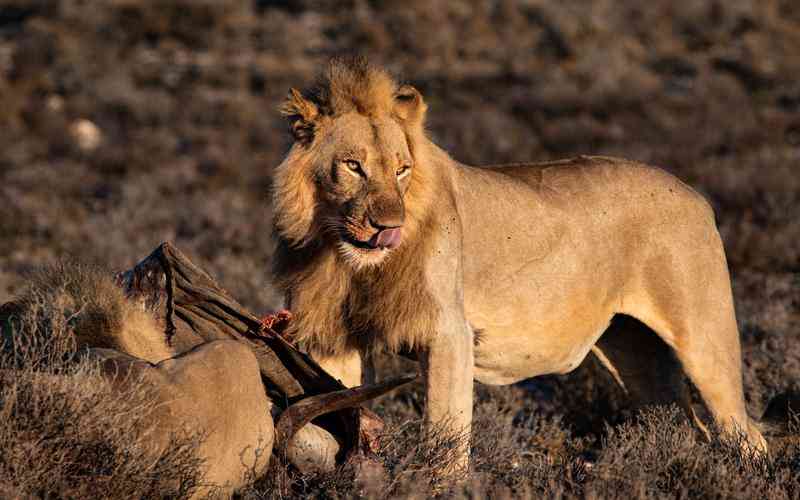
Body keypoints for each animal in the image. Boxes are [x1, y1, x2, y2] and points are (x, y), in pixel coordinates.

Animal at [270, 55, 768, 468]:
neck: (345, 260)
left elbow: (445, 437)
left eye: (401, 169)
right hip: (638, 355)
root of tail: (696, 196)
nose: (387, 227)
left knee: (744, 432)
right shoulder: (332, 339)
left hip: (703, 338)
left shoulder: (449, 333)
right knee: (688, 429)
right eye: (352, 166)